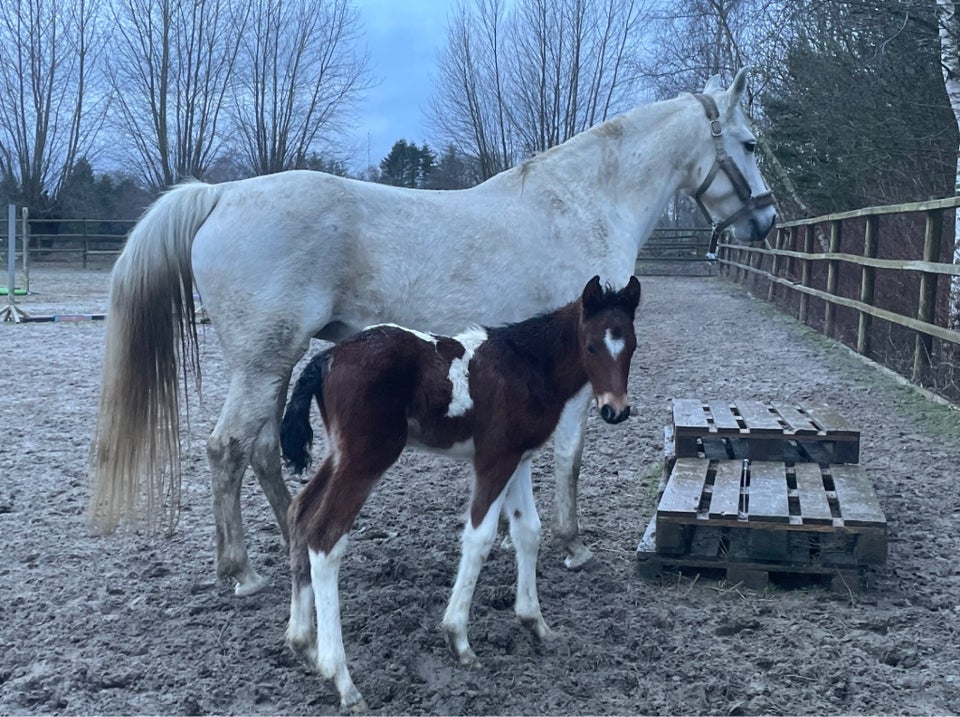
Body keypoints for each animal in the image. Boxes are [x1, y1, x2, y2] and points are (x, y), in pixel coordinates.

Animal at [90, 68, 776, 592]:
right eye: (749, 144)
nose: (766, 222)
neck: (581, 203)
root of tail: (223, 194)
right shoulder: (583, 371)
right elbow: (571, 457)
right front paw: (573, 545)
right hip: (262, 362)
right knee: (227, 448)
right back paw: (244, 573)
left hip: (275, 362)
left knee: (261, 451)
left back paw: (292, 543)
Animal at [280, 276, 636, 712]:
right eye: (590, 346)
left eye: (631, 345)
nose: (615, 410)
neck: (527, 365)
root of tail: (326, 358)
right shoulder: (494, 459)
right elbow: (480, 538)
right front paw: (459, 640)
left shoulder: (519, 458)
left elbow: (528, 532)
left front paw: (535, 622)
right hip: (367, 459)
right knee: (325, 537)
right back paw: (342, 680)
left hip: (340, 455)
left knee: (300, 515)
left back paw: (303, 645)